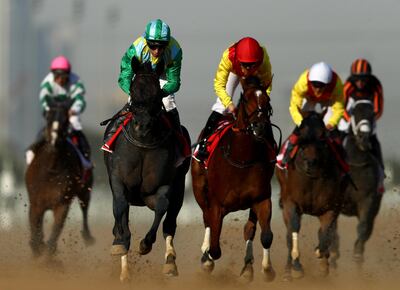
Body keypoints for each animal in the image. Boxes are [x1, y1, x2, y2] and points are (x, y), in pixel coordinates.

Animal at [25, 98, 94, 258]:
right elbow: (35, 235)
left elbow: (54, 235)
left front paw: (50, 258)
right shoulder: (36, 204)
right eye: (48, 117)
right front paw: (38, 249)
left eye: (65, 120)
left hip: (85, 189)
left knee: (85, 207)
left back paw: (87, 237)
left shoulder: (61, 204)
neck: (51, 169)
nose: (54, 140)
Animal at [192, 76, 276, 282]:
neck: (242, 158)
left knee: (249, 229)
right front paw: (207, 258)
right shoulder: (217, 205)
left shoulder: (262, 198)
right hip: (199, 190)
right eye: (246, 99)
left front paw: (266, 269)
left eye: (267, 100)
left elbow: (265, 235)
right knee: (206, 219)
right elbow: (215, 248)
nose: (260, 127)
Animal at [276, 110, 346, 280]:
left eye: (322, 136)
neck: (312, 180)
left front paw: (322, 260)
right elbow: (293, 231)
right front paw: (296, 267)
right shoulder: (290, 203)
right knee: (289, 234)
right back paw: (288, 271)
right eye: (301, 136)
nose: (311, 162)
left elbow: (325, 233)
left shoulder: (331, 207)